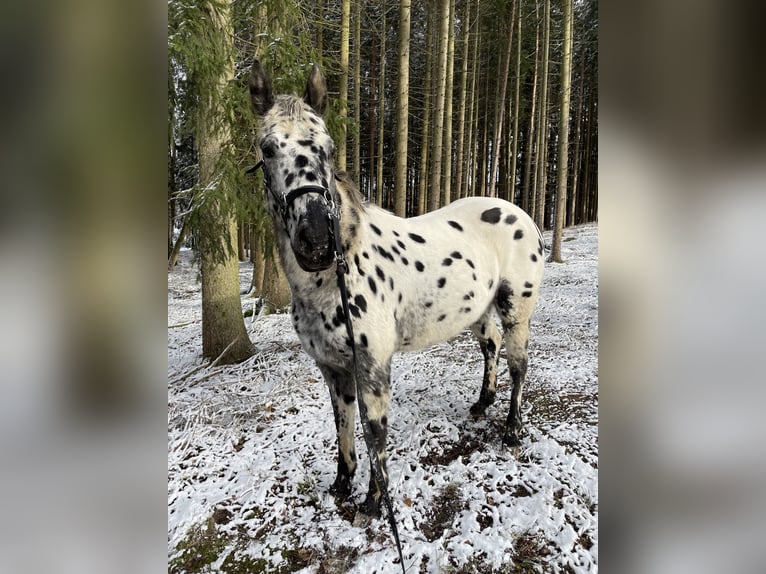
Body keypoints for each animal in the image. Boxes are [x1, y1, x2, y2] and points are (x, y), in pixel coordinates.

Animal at [249, 60, 544, 524]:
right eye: (266, 150)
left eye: (328, 148)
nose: (316, 242)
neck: (334, 276)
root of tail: (522, 215)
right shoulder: (332, 369)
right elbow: (343, 424)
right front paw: (342, 485)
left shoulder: (372, 366)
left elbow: (374, 432)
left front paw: (373, 501)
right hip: (478, 312)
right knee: (491, 347)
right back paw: (482, 403)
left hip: (517, 310)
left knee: (518, 364)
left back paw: (512, 429)